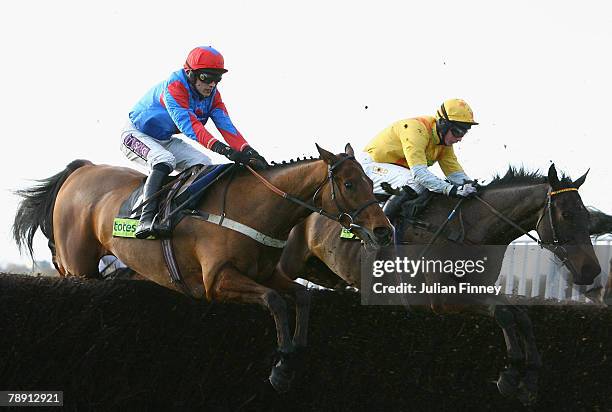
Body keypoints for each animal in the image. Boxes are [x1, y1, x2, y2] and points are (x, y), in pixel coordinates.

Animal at [13, 143, 392, 392]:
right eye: (349, 184)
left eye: (371, 182)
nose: (383, 230)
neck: (253, 209)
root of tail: (82, 169)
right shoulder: (217, 281)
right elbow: (275, 301)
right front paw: (282, 363)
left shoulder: (266, 273)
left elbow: (301, 297)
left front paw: (293, 355)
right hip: (77, 266)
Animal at [274, 164, 600, 406]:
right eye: (566, 214)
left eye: (587, 216)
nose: (592, 270)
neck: (467, 231)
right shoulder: (443, 300)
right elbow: (505, 313)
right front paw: (510, 374)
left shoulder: (479, 289)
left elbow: (521, 315)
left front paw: (529, 379)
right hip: (287, 264)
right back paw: (283, 362)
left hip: (325, 272)